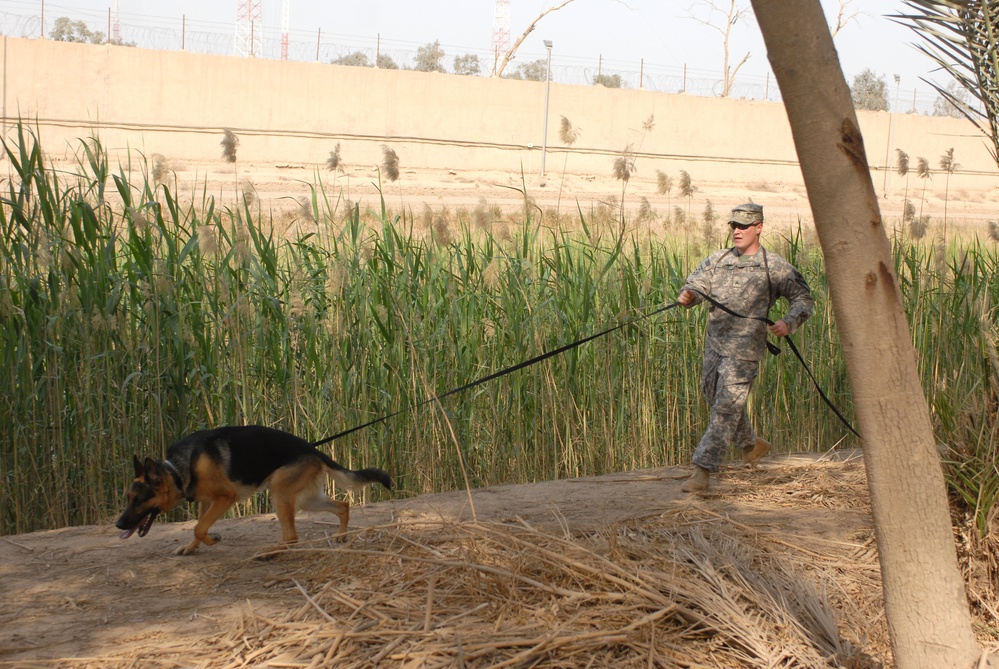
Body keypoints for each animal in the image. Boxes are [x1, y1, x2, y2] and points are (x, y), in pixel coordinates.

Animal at [115, 426, 392, 556]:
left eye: (140, 499)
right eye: (129, 498)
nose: (118, 525)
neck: (177, 469)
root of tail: (312, 449)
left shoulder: (225, 498)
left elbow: (199, 527)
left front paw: (212, 539)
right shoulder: (206, 501)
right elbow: (198, 525)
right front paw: (192, 548)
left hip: (280, 494)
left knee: (292, 537)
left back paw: (270, 551)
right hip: (307, 499)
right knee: (343, 506)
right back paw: (341, 536)